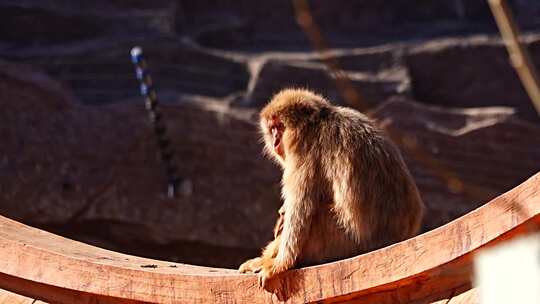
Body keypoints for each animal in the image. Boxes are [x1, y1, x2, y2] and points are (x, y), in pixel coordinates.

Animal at [238, 88, 424, 292]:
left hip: (344, 242)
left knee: (316, 215)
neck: (317, 123)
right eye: (272, 129)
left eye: (279, 127)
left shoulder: (305, 152)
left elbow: (301, 211)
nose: (275, 140)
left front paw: (280, 264)